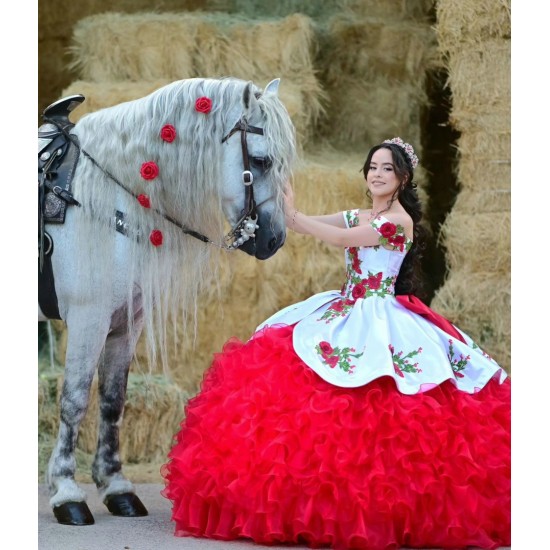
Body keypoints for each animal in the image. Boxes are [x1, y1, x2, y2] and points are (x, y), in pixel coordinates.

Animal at [37, 76, 298, 528]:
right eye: (261, 161)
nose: (273, 239)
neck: (103, 198)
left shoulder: (125, 323)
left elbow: (112, 400)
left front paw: (116, 487)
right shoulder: (89, 319)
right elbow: (73, 400)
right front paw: (67, 492)